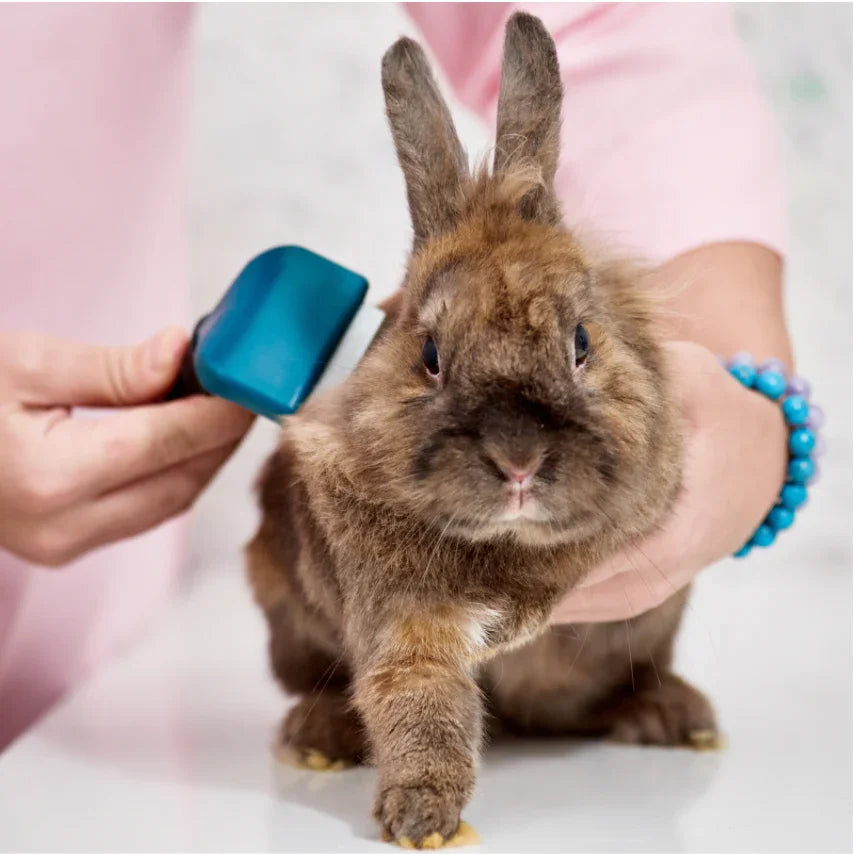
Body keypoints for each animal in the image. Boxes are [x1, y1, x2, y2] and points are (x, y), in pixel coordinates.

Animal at [246, 11, 718, 849]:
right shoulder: (405, 622)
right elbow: (419, 701)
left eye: (581, 342)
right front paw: (422, 817)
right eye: (430, 355)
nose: (519, 459)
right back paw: (317, 738)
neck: (508, 543)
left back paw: (676, 717)